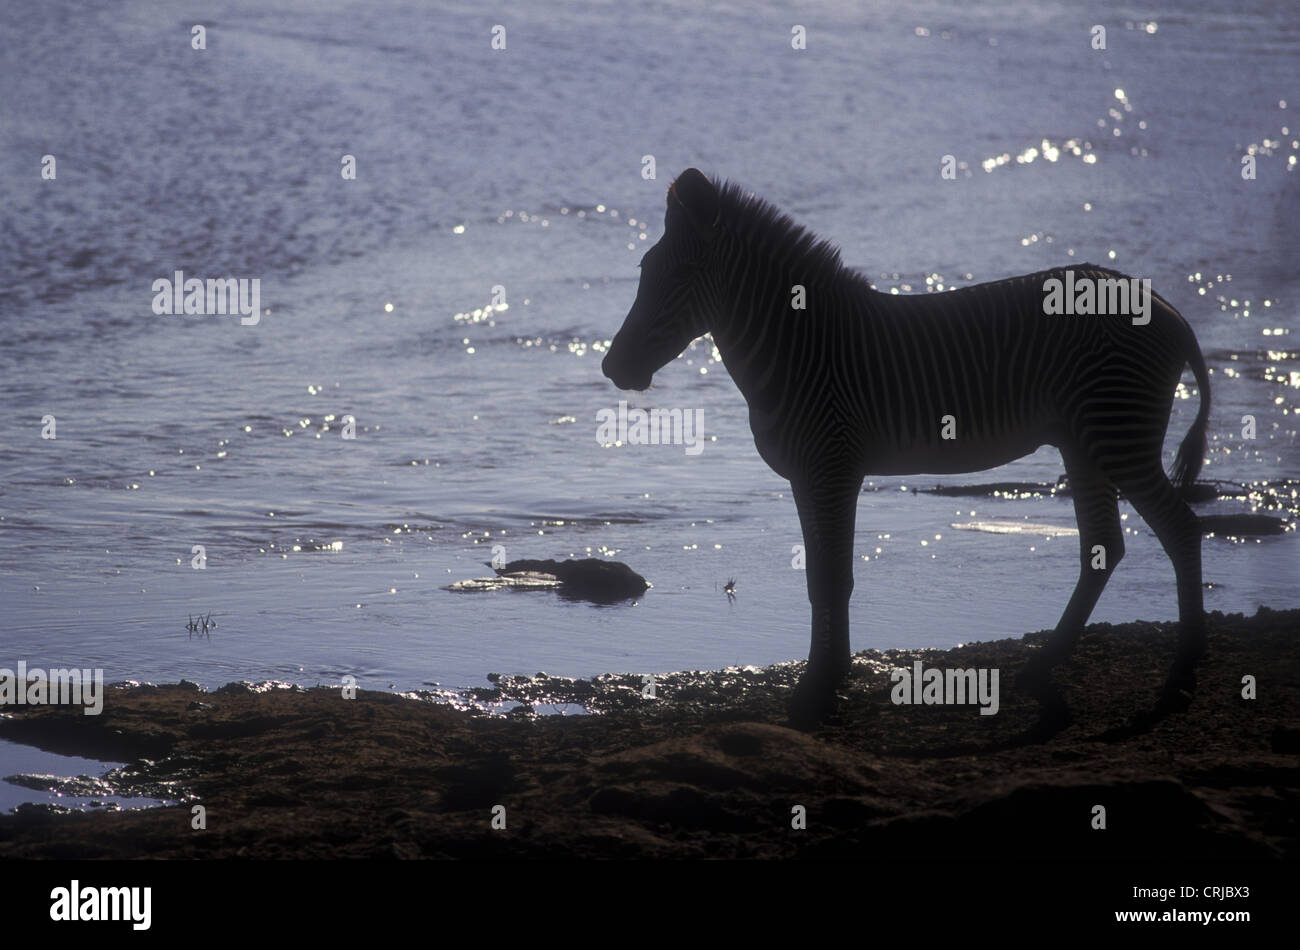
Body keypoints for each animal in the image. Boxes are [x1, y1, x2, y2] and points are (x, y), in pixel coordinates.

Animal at [598, 168, 1206, 727]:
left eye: (678, 274)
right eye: (645, 271)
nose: (612, 367)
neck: (801, 350)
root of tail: (1168, 308)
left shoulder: (834, 465)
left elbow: (833, 578)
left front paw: (819, 688)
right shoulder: (806, 474)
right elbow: (821, 579)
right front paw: (826, 678)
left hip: (1117, 435)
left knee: (1180, 528)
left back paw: (1180, 680)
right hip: (1086, 442)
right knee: (1104, 547)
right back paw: (1044, 669)